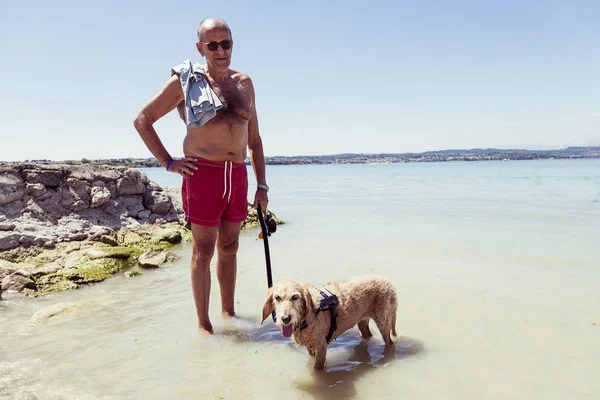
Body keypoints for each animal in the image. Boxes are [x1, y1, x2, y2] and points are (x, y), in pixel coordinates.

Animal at [262, 276, 398, 370]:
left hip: (384, 323)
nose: (285, 318)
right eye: (277, 298)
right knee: (367, 335)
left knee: (389, 342)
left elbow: (316, 370)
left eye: (295, 297)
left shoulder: (321, 347)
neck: (309, 315)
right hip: (362, 322)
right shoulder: (310, 347)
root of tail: (390, 284)